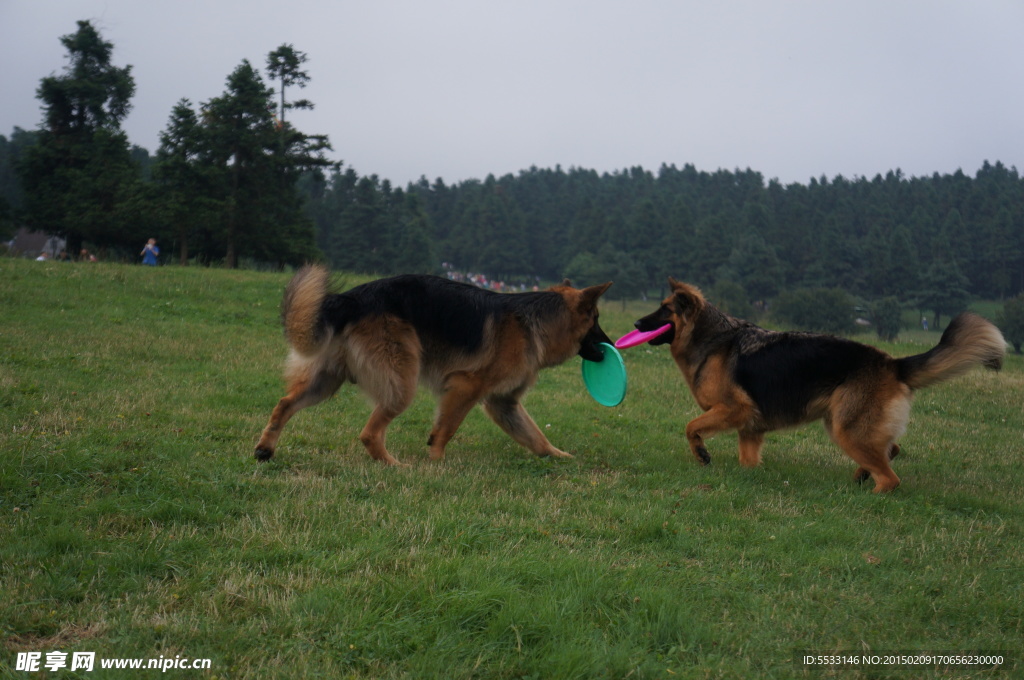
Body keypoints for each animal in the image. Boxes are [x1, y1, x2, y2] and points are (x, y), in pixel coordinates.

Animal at [256, 268, 610, 464]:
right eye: (596, 320)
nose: (611, 348)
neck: (533, 322)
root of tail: (350, 299)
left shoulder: (503, 403)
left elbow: (536, 437)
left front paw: (560, 457)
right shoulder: (465, 387)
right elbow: (446, 429)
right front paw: (436, 464)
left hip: (326, 380)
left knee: (284, 404)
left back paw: (265, 449)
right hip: (401, 385)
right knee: (369, 433)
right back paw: (395, 466)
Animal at [634, 278, 1003, 493]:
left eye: (664, 310)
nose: (636, 323)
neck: (711, 339)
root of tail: (891, 363)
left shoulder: (734, 408)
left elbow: (690, 427)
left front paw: (702, 454)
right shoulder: (750, 428)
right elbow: (747, 461)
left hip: (846, 430)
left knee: (891, 477)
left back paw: (869, 493)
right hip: (850, 426)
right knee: (892, 449)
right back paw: (861, 477)